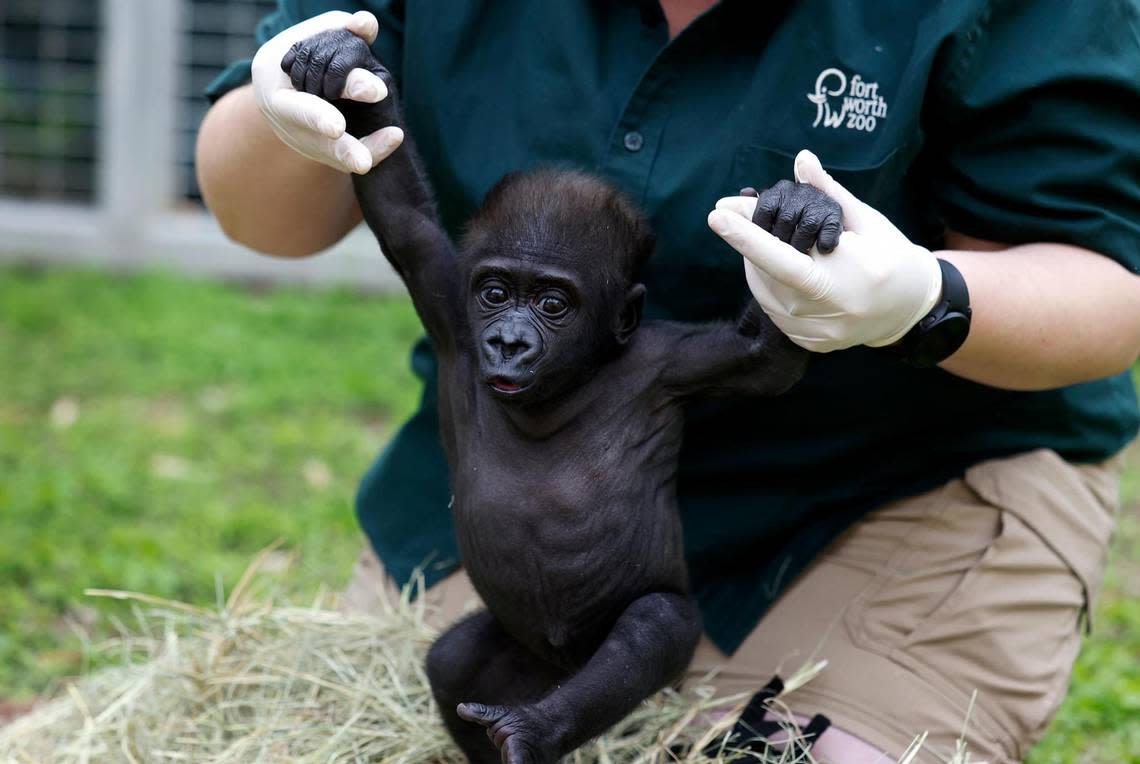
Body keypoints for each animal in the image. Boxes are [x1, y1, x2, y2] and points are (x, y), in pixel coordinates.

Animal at [285, 29, 839, 764]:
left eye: (553, 304)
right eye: (496, 293)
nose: (509, 343)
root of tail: (557, 673)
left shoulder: (670, 364)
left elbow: (768, 357)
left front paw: (799, 220)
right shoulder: (451, 306)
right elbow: (402, 215)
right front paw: (347, 67)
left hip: (619, 656)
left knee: (651, 629)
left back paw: (538, 728)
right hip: (522, 656)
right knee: (454, 662)